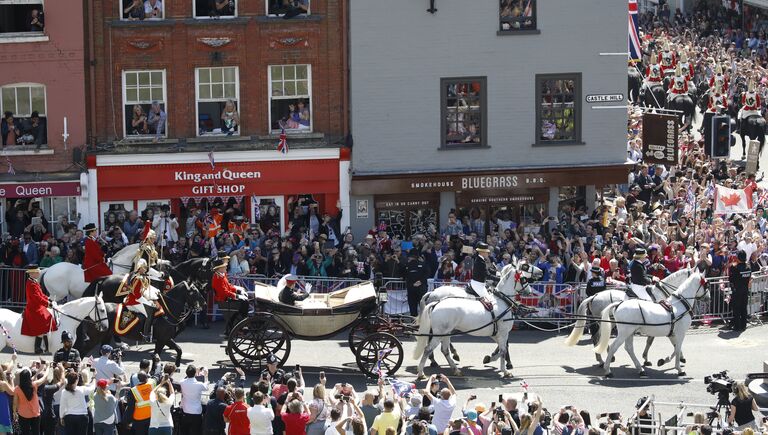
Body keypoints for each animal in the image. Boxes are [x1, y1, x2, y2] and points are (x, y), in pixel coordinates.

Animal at [76, 282, 206, 366]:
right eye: (195, 291)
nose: (204, 303)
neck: (167, 311)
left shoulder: (166, 339)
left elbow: (178, 350)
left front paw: (177, 365)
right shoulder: (162, 340)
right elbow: (157, 356)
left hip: (105, 336)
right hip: (95, 338)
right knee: (82, 351)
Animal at [412, 264, 544, 380]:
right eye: (524, 277)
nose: (529, 291)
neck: (501, 301)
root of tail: (436, 302)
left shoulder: (496, 333)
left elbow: (502, 349)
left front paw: (490, 359)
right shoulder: (503, 333)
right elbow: (503, 350)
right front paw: (505, 370)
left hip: (446, 333)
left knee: (445, 350)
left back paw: (455, 369)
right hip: (440, 333)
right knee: (428, 349)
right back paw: (421, 373)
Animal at [564, 270, 696, 368]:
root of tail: (594, 296)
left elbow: (651, 341)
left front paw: (647, 359)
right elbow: (668, 342)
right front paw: (678, 358)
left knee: (598, 337)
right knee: (598, 337)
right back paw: (603, 360)